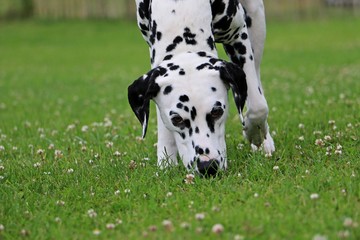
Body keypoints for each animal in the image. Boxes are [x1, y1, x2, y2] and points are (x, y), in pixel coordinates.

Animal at [128, 0, 274, 176]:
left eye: (217, 112)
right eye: (176, 119)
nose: (207, 166)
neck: (180, 9)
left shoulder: (238, 36)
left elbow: (257, 107)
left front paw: (255, 135)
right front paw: (166, 160)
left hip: (256, 19)